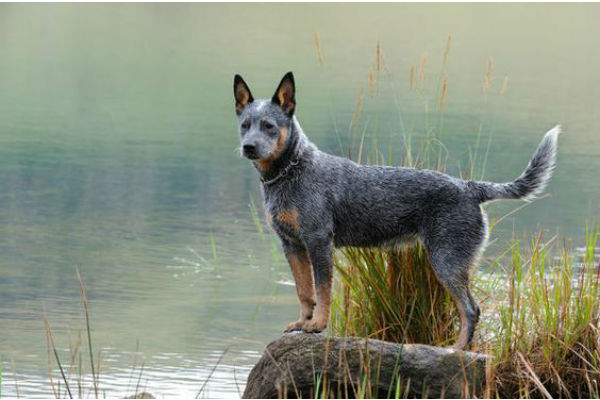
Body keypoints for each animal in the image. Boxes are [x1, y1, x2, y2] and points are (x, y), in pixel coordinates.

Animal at [232, 72, 560, 350]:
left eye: (269, 126)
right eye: (245, 124)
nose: (248, 147)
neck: (292, 171)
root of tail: (470, 187)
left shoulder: (318, 242)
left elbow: (323, 291)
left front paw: (318, 325)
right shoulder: (292, 245)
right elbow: (304, 291)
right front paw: (303, 323)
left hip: (447, 262)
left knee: (471, 309)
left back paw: (455, 350)